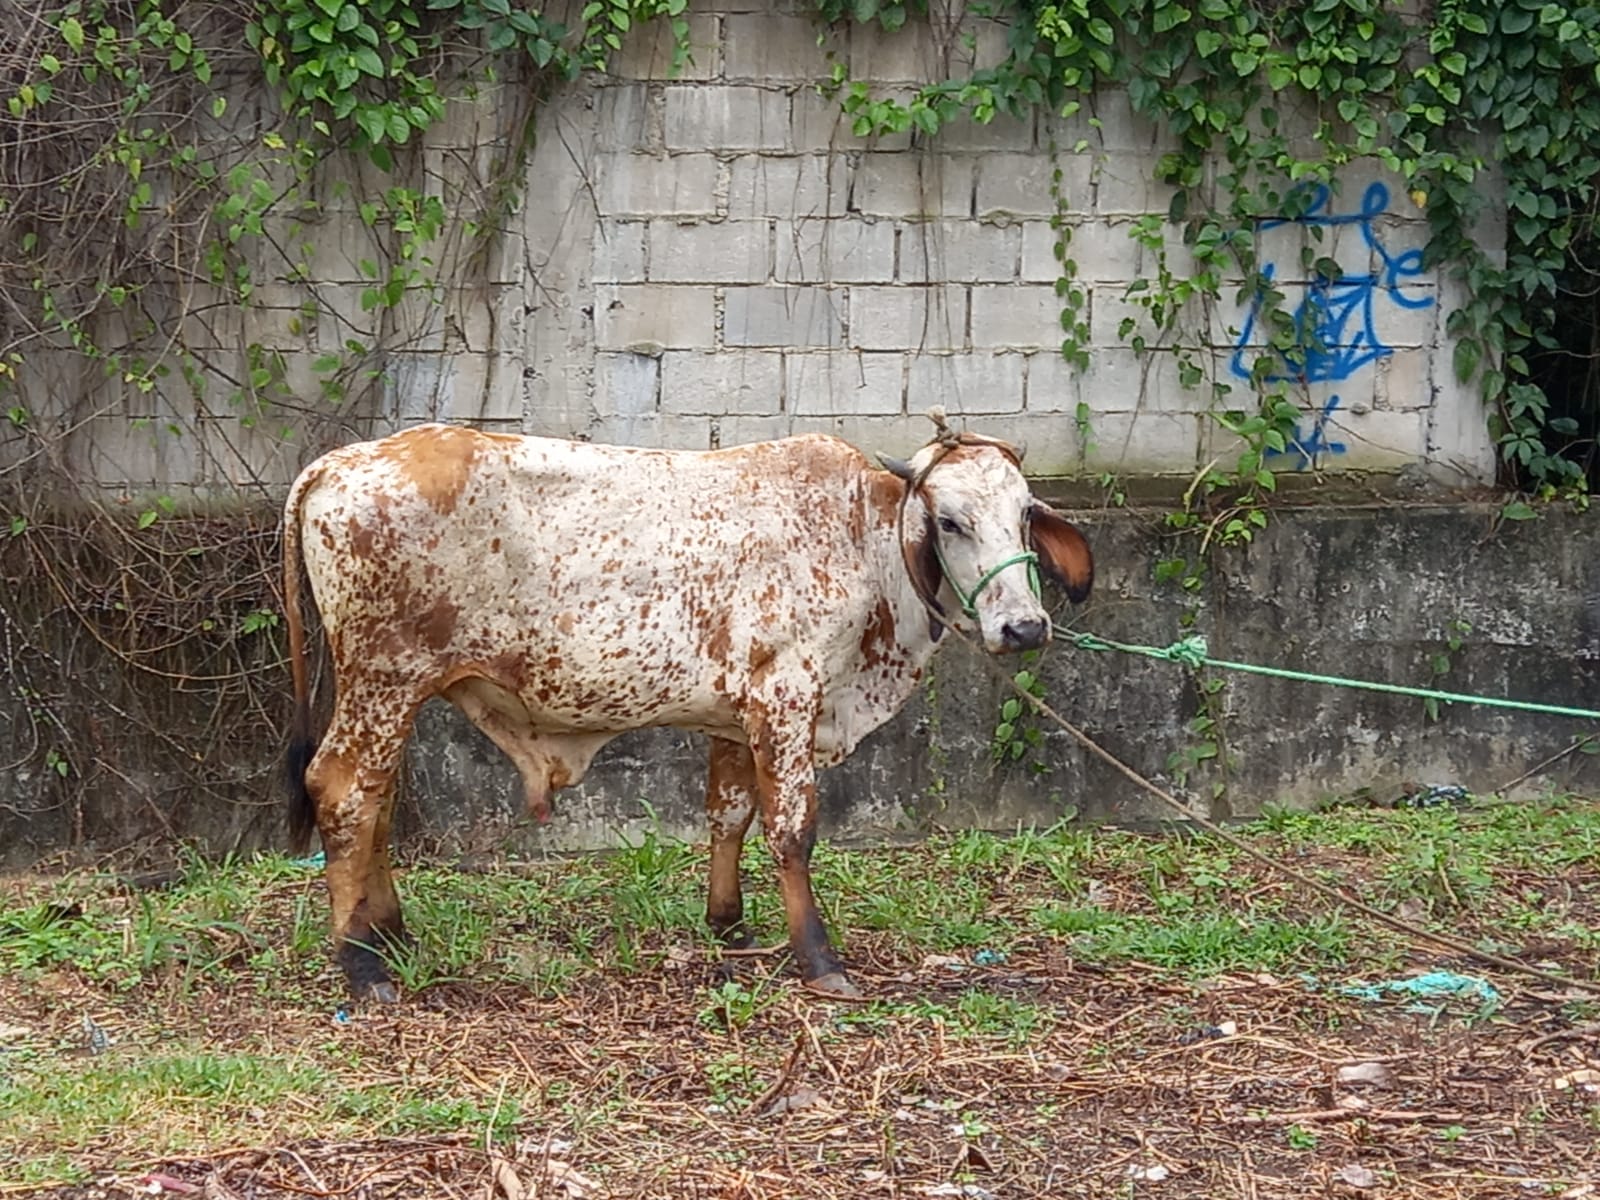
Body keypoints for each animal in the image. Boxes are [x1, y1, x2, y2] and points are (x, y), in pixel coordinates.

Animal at [281, 419, 1094, 998]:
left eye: (1025, 515)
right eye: (949, 520)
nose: (1025, 627)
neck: (861, 538)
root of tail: (338, 463)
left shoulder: (736, 719)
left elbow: (728, 816)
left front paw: (727, 926)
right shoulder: (787, 697)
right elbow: (793, 831)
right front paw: (819, 958)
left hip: (395, 692)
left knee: (376, 802)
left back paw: (390, 934)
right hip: (383, 680)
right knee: (343, 792)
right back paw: (362, 965)